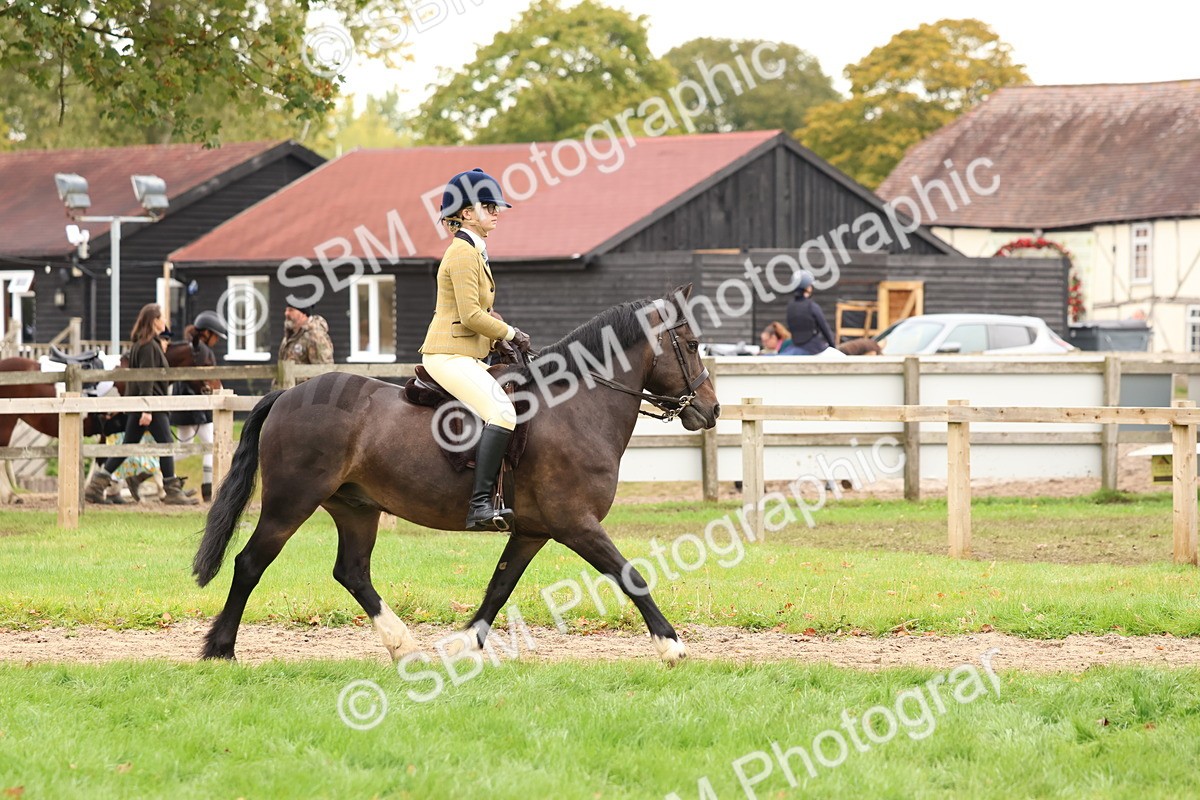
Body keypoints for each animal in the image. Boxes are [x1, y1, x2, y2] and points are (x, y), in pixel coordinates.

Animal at [193, 285, 721, 665]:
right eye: (693, 345)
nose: (712, 410)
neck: (576, 408)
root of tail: (288, 394)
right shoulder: (577, 524)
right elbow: (630, 575)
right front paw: (671, 646)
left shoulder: (532, 531)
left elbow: (499, 587)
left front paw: (464, 645)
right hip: (290, 503)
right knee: (250, 564)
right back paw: (221, 649)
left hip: (356, 508)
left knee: (353, 572)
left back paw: (404, 646)